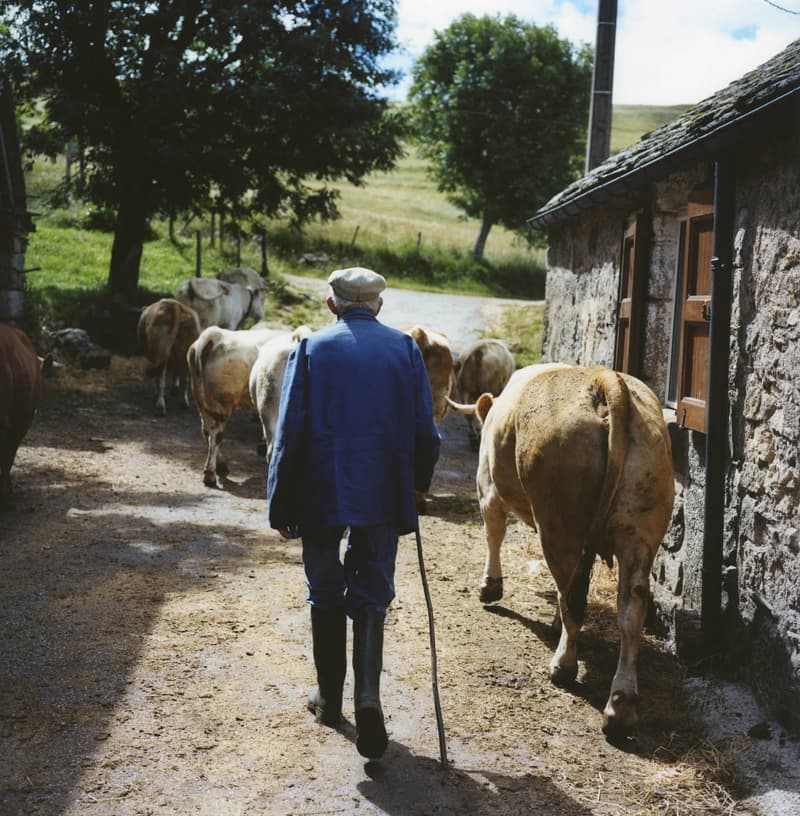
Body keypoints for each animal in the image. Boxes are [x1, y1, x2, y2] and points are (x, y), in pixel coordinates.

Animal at [188, 326, 288, 490]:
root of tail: (215, 334)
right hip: (222, 405)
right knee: (216, 436)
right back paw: (210, 474)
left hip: (202, 403)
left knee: (206, 431)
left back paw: (220, 465)